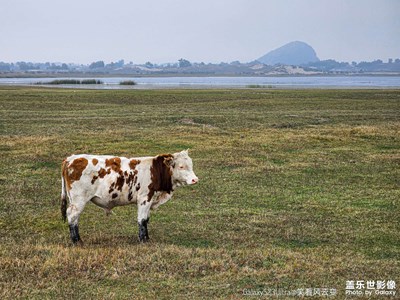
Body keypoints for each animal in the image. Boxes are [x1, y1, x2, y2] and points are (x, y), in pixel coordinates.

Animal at [61, 150, 198, 244]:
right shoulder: (144, 198)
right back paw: (77, 240)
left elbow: (146, 219)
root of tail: (71, 158)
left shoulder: (150, 199)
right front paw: (143, 239)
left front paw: (147, 237)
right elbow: (142, 220)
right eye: (181, 166)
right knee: (72, 216)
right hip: (79, 200)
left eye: (191, 165)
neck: (155, 170)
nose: (195, 179)